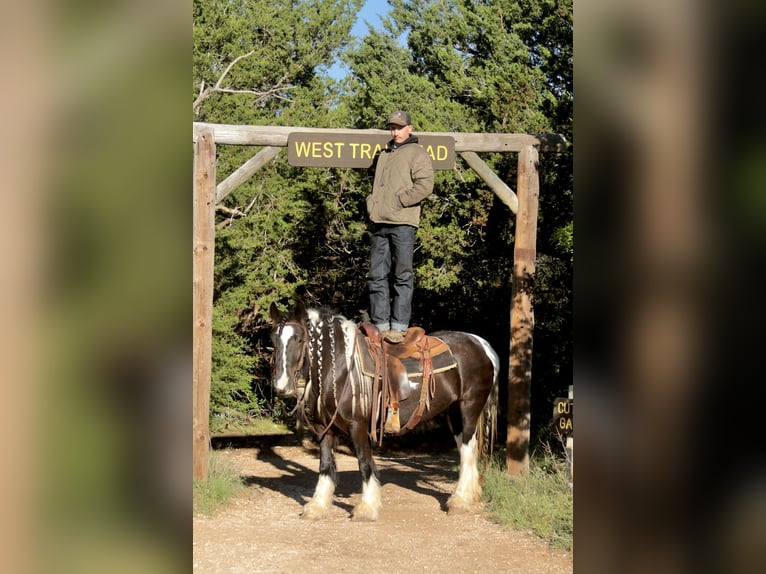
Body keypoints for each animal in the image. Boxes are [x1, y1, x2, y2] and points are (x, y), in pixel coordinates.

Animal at [269, 299, 499, 521]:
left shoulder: (358, 426)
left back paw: (460, 501)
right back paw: (468, 494)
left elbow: (365, 463)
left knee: (467, 450)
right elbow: (325, 465)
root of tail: (481, 344)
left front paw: (366, 508)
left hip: (469, 407)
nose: (281, 386)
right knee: (465, 448)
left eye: (299, 339)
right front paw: (317, 507)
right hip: (453, 412)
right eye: (273, 339)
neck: (342, 368)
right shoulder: (323, 427)